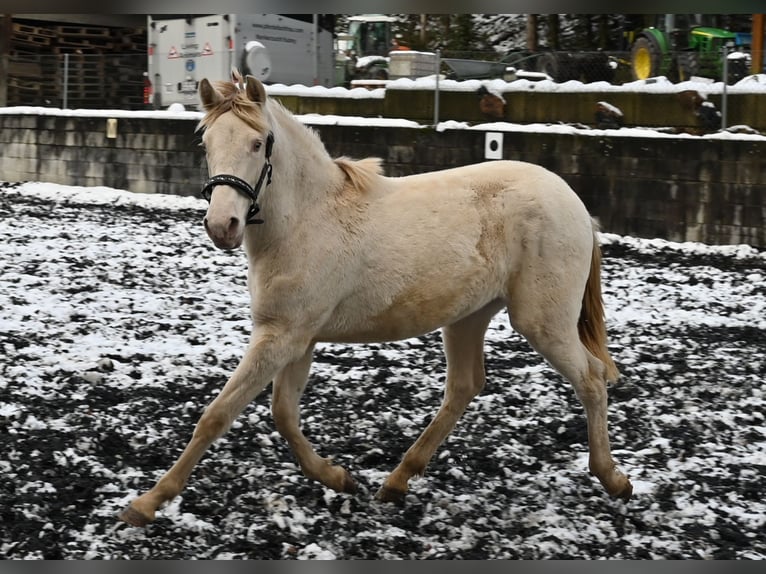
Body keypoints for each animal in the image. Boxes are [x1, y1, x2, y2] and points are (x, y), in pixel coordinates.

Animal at [120, 70, 636, 528]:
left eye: (258, 142)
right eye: (207, 143)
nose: (222, 226)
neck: (305, 220)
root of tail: (574, 202)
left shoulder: (282, 336)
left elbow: (218, 414)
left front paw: (147, 503)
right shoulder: (297, 337)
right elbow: (283, 414)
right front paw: (339, 478)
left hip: (542, 320)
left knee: (591, 378)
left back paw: (613, 479)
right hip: (467, 316)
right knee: (464, 386)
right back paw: (396, 481)